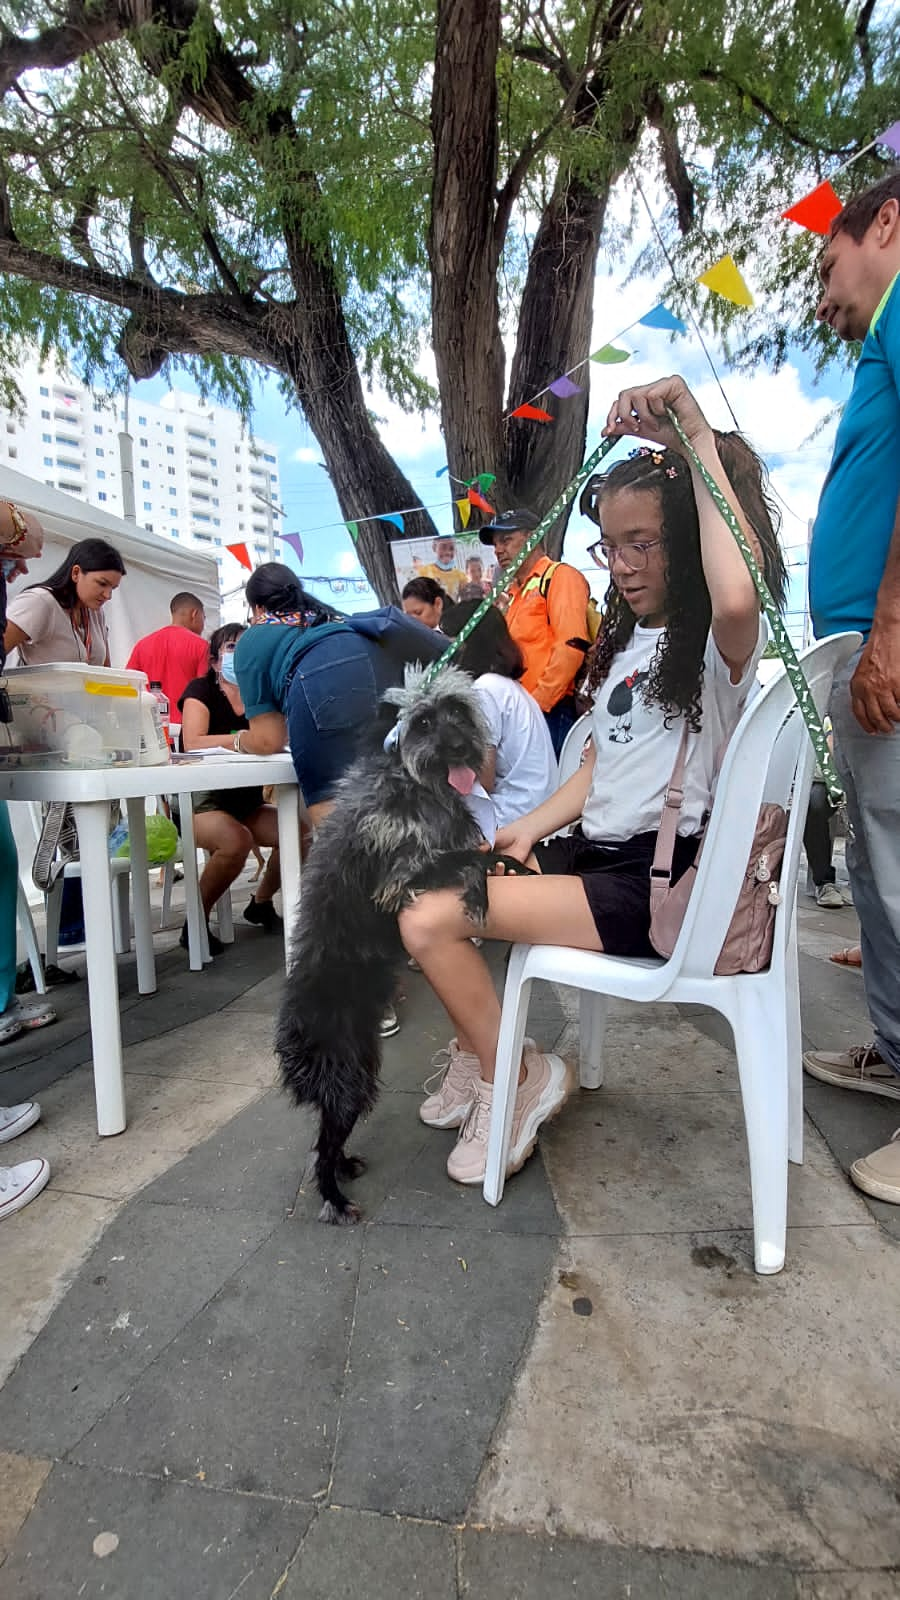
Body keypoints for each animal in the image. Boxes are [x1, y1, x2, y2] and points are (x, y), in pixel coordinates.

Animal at [273, 662, 518, 1222]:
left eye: (457, 710)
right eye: (423, 722)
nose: (461, 748)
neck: (413, 783)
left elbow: (485, 852)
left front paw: (506, 866)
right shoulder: (401, 875)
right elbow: (469, 859)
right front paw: (479, 891)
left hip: (356, 1076)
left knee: (328, 1142)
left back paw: (344, 1170)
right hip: (347, 1081)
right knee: (321, 1149)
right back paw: (335, 1199)